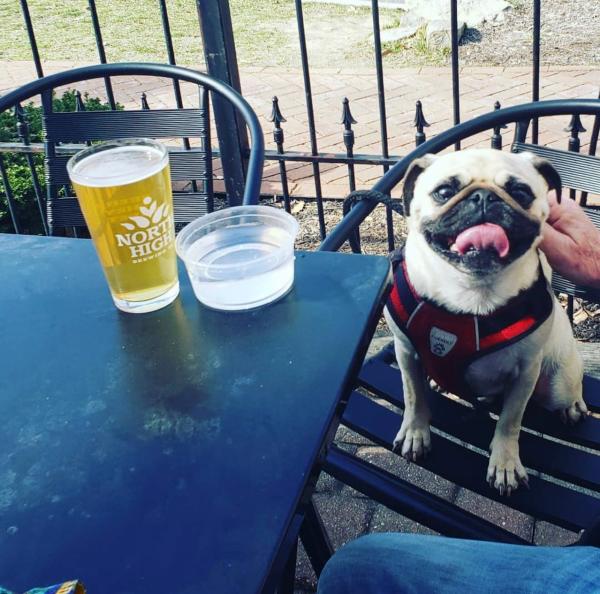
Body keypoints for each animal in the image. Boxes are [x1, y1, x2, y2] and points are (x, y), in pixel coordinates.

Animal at [382, 148, 588, 494]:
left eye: (520, 192)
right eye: (444, 191)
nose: (483, 197)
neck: (471, 292)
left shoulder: (525, 373)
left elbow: (510, 421)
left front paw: (504, 464)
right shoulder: (406, 352)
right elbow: (413, 397)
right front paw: (415, 433)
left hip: (557, 382)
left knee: (565, 391)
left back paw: (573, 407)